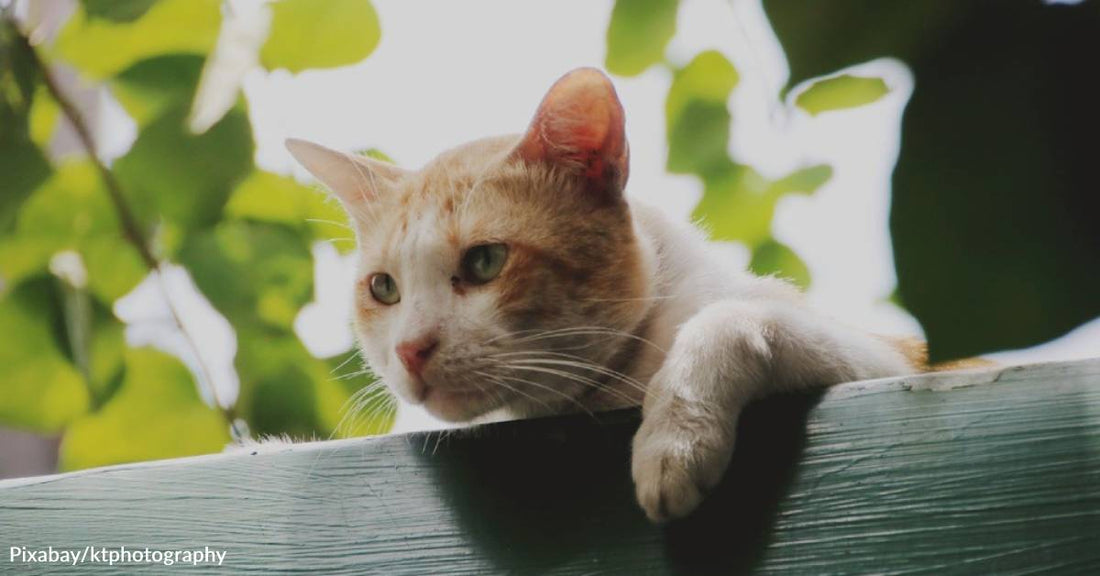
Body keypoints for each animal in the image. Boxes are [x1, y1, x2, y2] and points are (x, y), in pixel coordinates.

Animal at [283, 67, 928, 521]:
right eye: (384, 287)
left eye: (485, 261)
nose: (411, 350)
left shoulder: (890, 360)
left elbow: (729, 320)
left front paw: (674, 440)